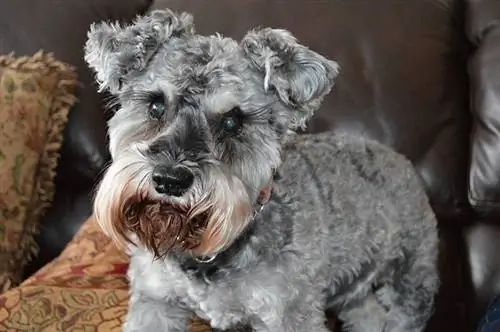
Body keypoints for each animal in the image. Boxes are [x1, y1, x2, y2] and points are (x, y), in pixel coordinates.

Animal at [85, 8, 438, 332]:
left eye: (233, 121)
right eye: (156, 104)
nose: (170, 180)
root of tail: (401, 161)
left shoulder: (288, 315)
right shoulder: (155, 301)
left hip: (412, 280)